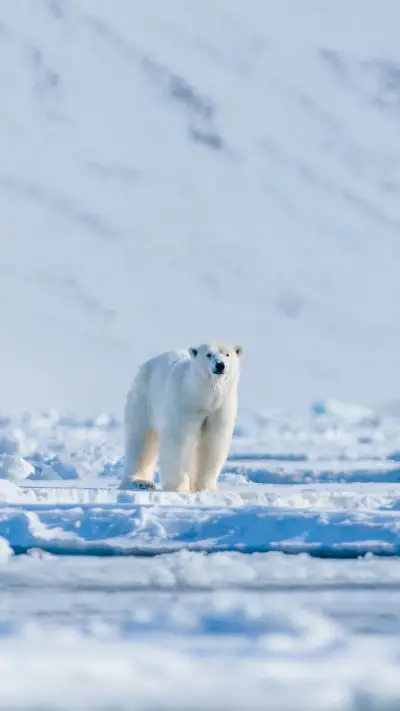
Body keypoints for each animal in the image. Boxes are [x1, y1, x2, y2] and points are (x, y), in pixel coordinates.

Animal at [120, 342, 243, 492]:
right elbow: (179, 441)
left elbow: (213, 442)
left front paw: (206, 488)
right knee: (141, 441)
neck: (204, 396)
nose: (220, 365)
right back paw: (140, 482)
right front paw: (179, 488)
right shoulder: (185, 403)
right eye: (208, 354)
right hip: (145, 399)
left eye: (227, 354)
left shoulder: (220, 409)